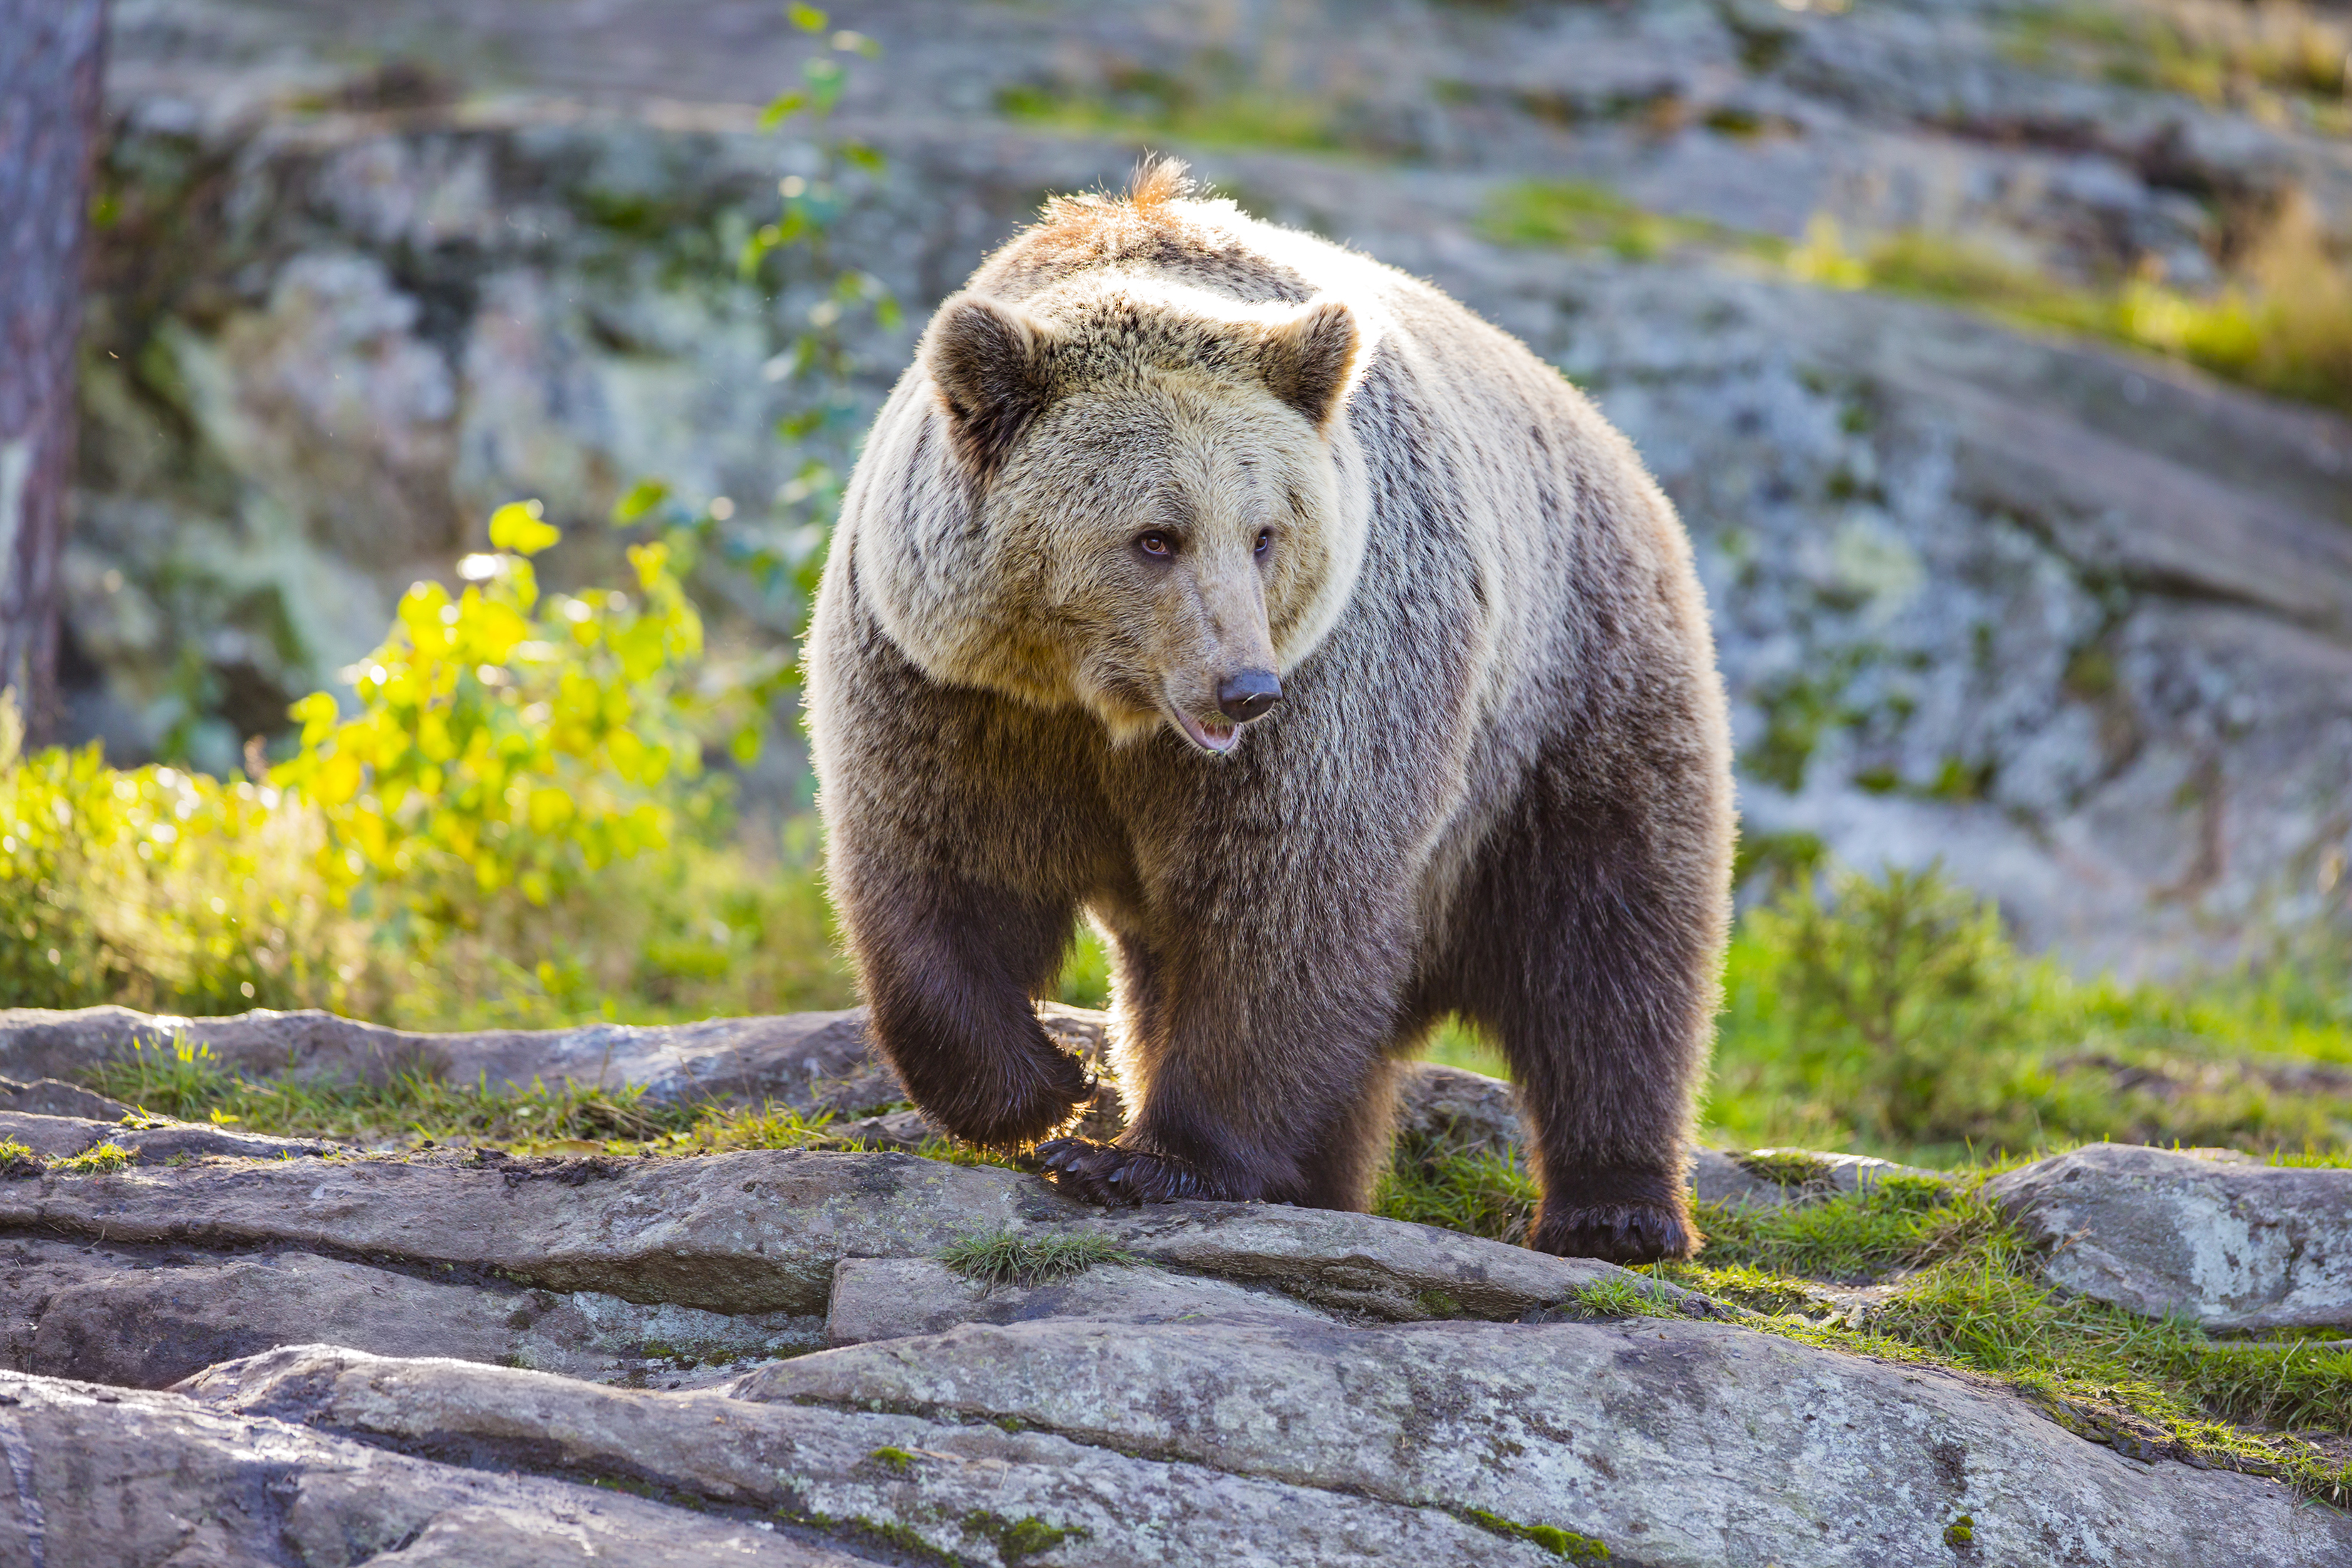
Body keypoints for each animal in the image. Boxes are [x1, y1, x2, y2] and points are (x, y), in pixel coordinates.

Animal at [800, 160, 1740, 1259]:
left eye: (1264, 532)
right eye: (1155, 537)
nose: (1243, 688)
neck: (1103, 706)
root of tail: (1615, 445)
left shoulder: (1338, 683)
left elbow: (1286, 903)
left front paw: (1144, 1156)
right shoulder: (953, 690)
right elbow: (938, 869)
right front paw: (1047, 1087)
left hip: (1573, 690)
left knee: (1607, 938)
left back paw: (1619, 1210)